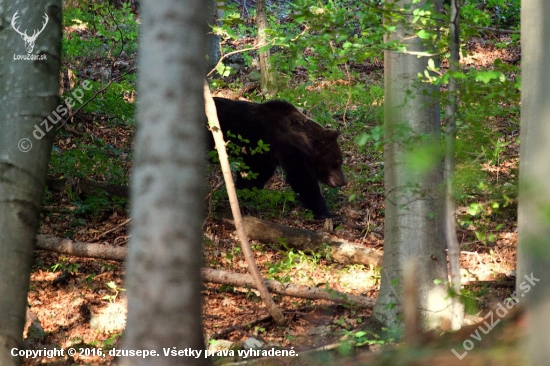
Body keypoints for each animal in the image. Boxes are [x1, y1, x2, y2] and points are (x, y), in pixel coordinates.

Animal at [212, 96, 348, 217]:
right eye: (337, 162)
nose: (343, 181)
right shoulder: (285, 145)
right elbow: (301, 178)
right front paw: (327, 213)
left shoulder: (263, 153)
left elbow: (253, 175)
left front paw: (245, 196)